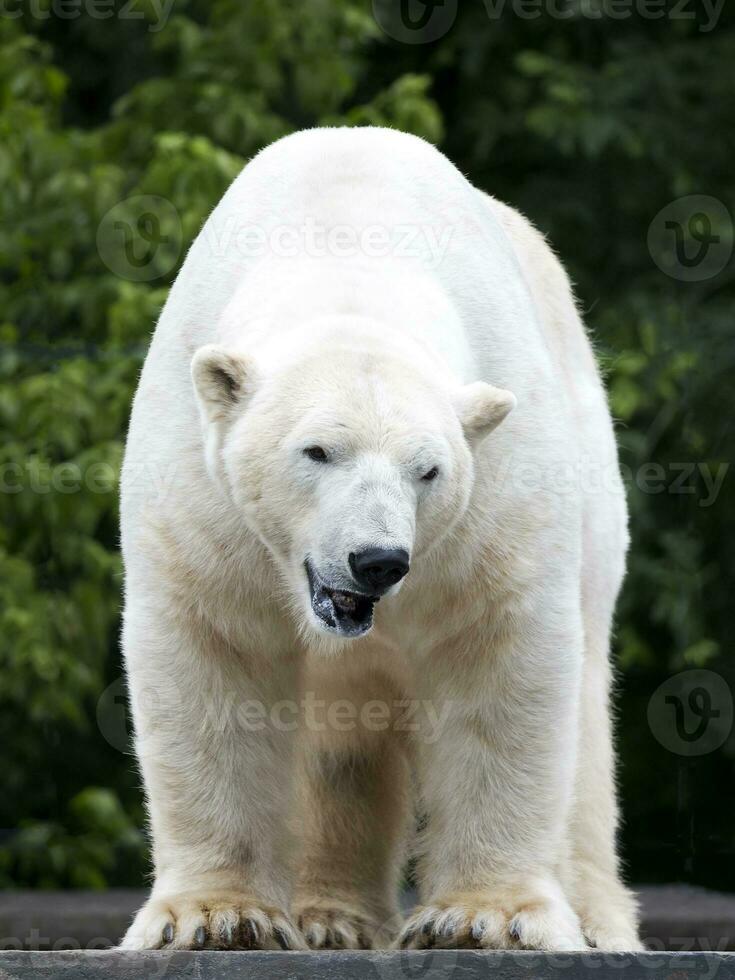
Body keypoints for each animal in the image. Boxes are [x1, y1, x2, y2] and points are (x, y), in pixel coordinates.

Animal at [118, 126, 640, 952]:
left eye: (427, 469)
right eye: (315, 451)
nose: (377, 562)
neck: (348, 250)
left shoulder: (494, 490)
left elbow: (496, 654)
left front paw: (482, 918)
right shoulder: (204, 495)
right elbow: (215, 652)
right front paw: (216, 916)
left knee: (585, 713)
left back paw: (593, 919)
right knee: (342, 741)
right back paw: (329, 918)